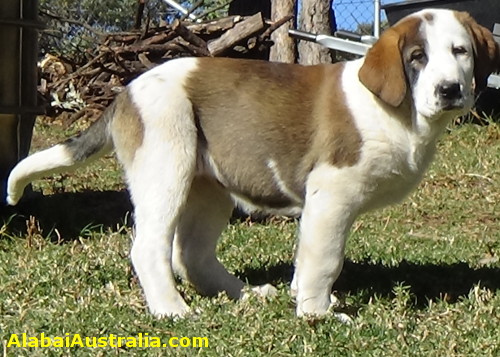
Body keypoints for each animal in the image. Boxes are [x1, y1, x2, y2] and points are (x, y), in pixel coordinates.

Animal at [4, 9, 500, 318]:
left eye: (460, 52)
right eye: (417, 58)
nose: (450, 90)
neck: (398, 111)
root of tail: (125, 92)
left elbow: (307, 259)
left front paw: (303, 300)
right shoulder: (331, 195)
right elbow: (325, 259)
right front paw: (317, 315)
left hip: (208, 186)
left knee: (193, 254)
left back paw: (245, 295)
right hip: (166, 165)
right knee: (150, 248)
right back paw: (171, 310)